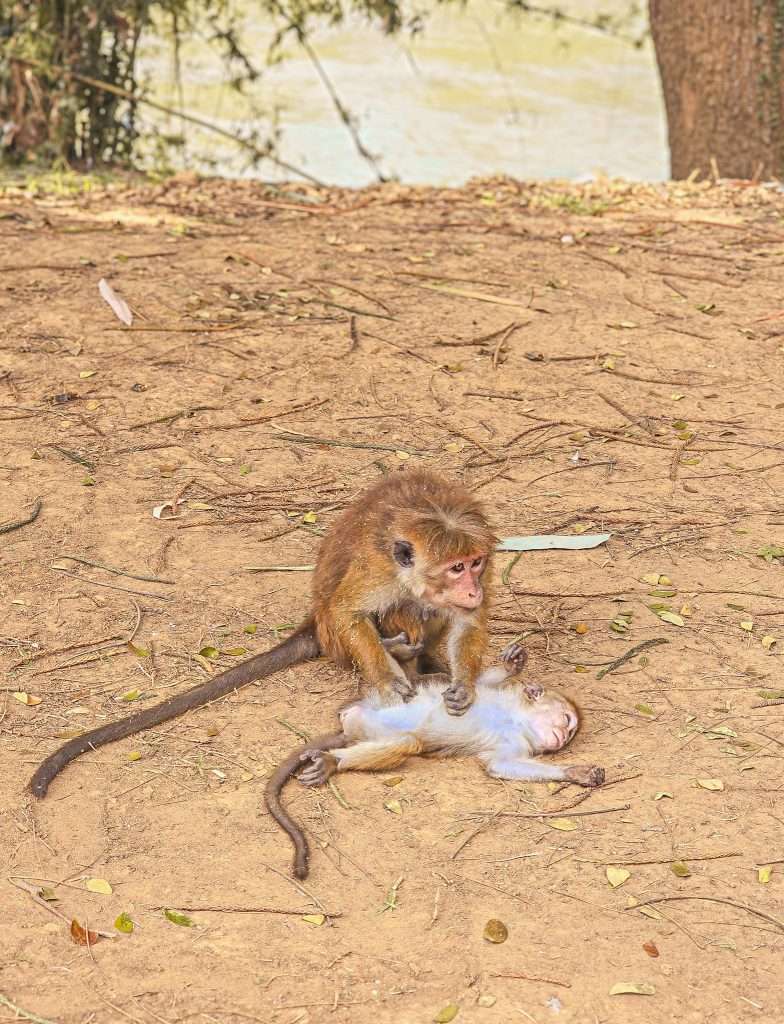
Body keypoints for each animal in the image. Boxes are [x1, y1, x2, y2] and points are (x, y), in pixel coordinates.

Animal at [29, 470, 497, 798]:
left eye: (475, 563)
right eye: (456, 568)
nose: (472, 588)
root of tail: (312, 625)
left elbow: (469, 621)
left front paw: (464, 685)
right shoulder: (378, 568)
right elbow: (350, 611)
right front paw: (387, 679)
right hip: (334, 635)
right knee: (393, 610)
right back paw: (397, 652)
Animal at [265, 643, 604, 879]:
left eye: (569, 734)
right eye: (566, 722)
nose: (562, 740)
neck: (516, 719)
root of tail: (349, 725)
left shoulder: (514, 743)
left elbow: (501, 764)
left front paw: (574, 771)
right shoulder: (499, 701)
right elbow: (472, 685)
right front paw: (512, 665)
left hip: (370, 725)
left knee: (408, 742)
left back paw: (332, 761)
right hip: (376, 697)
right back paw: (397, 652)